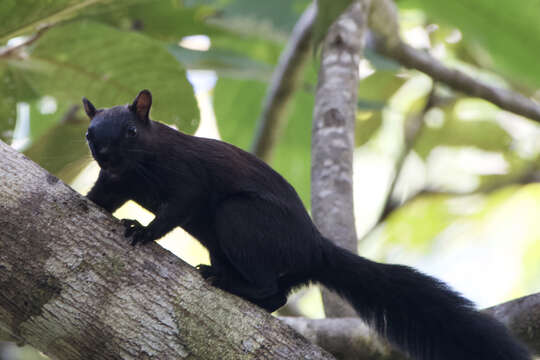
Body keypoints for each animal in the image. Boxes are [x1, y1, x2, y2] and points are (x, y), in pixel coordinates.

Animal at [82, 90, 528, 360]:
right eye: (89, 134)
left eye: (131, 130)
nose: (104, 153)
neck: (138, 165)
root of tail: (315, 249)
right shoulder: (114, 182)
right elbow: (101, 197)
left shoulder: (188, 178)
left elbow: (178, 208)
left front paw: (143, 230)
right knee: (277, 295)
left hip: (239, 219)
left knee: (269, 288)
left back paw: (225, 282)